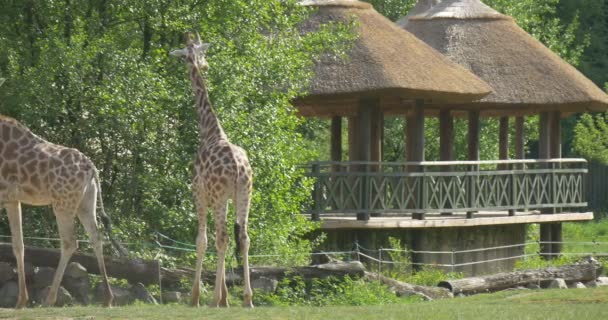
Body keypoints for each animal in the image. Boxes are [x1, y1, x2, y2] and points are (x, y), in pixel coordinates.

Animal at [0, 114, 124, 308]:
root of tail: (92, 169)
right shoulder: (12, 199)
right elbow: (18, 245)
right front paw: (21, 301)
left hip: (63, 204)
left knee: (69, 242)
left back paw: (49, 300)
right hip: (86, 203)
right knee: (96, 237)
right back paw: (107, 298)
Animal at [171, 33, 254, 308]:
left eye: (200, 53)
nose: (204, 65)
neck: (210, 131)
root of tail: (239, 168)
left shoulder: (199, 193)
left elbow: (201, 241)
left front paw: (196, 296)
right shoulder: (226, 199)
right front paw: (227, 297)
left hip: (217, 196)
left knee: (223, 237)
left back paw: (214, 298)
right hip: (245, 194)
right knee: (243, 237)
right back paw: (247, 298)